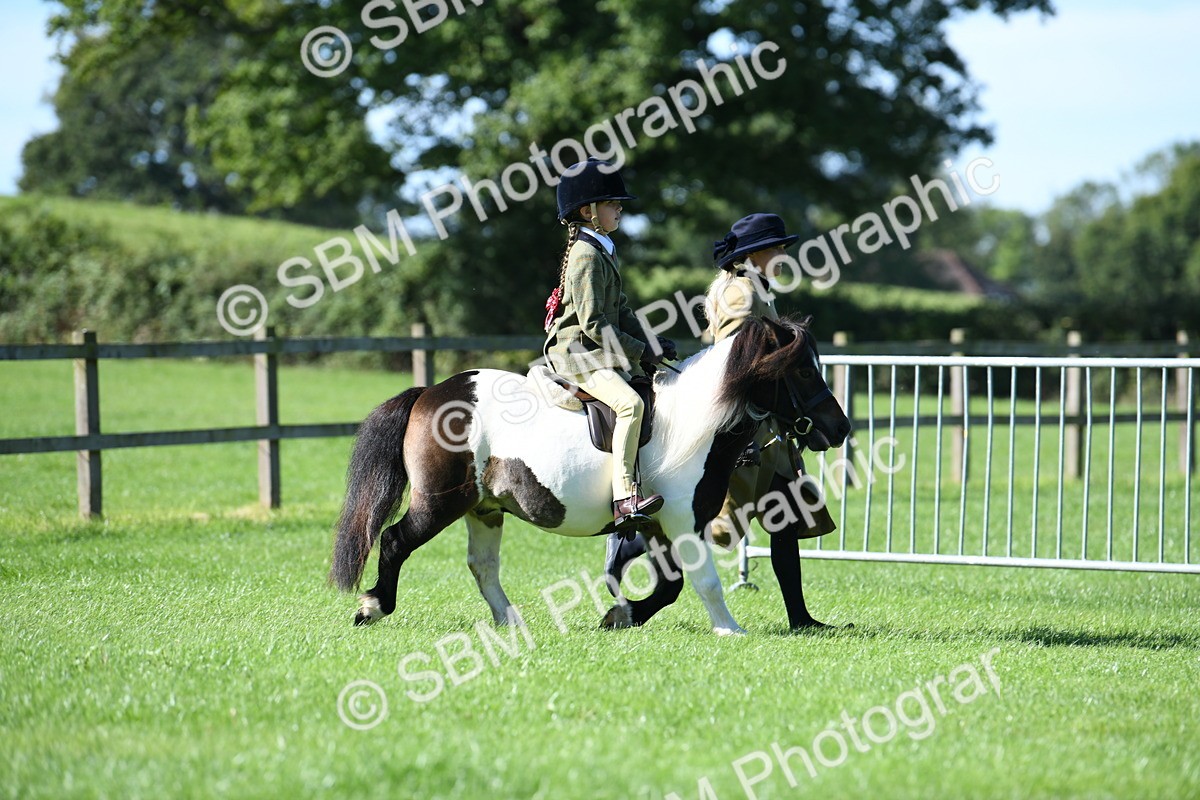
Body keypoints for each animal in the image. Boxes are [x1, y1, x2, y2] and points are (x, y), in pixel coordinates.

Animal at [328, 315, 851, 635]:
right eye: (803, 373)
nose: (840, 428)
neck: (697, 419)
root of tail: (430, 392)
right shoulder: (683, 522)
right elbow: (704, 581)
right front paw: (729, 628)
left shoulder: (655, 526)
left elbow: (670, 587)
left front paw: (621, 614)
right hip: (441, 502)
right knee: (395, 540)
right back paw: (373, 606)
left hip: (485, 508)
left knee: (483, 566)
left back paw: (510, 621)